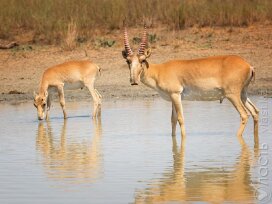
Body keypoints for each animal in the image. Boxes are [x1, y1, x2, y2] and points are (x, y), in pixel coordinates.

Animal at [121, 24, 260, 139]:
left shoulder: (176, 95)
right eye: (128, 61)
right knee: (255, 112)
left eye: (142, 60)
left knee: (244, 115)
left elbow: (180, 119)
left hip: (232, 95)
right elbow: (173, 120)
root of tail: (248, 65)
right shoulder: (173, 98)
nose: (133, 80)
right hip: (243, 94)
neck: (159, 70)